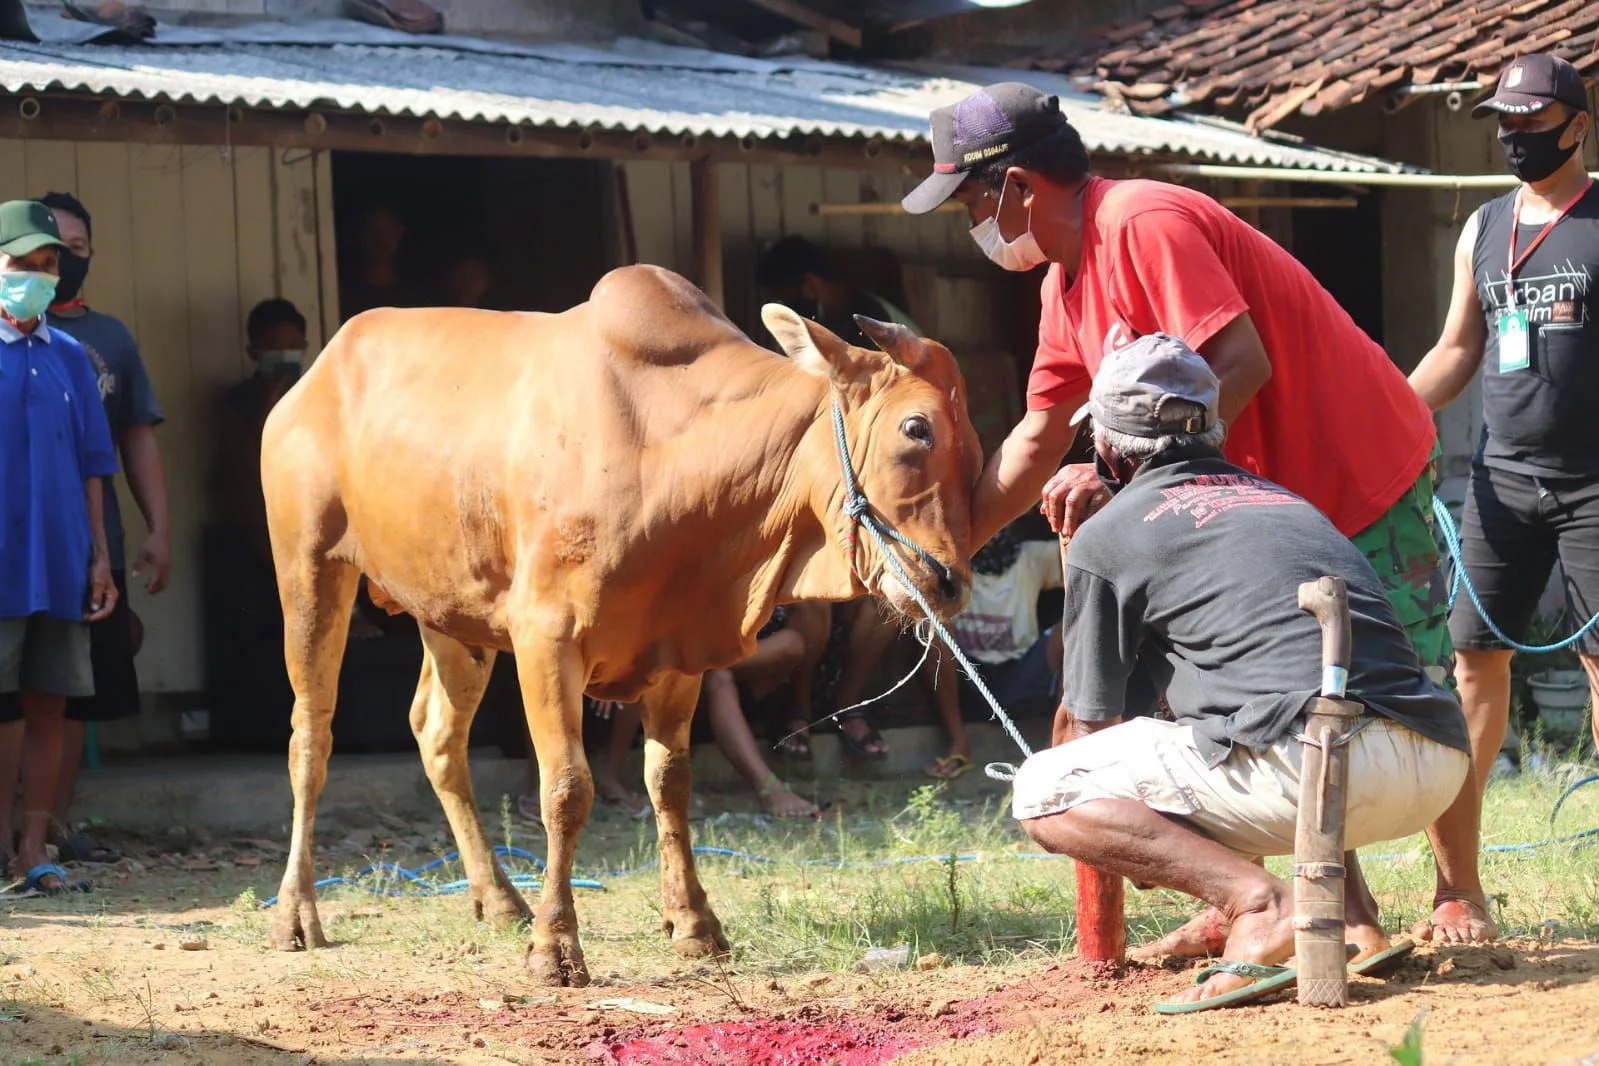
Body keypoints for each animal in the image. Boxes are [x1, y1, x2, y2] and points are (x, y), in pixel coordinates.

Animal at [260, 265, 978, 984]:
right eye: (916, 429)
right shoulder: (544, 636)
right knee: (309, 738)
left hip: (451, 615)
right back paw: (296, 912)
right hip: (309, 568)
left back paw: (498, 897)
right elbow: (566, 788)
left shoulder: (680, 653)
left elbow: (670, 782)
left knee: (437, 736)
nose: (949, 582)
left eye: (971, 445)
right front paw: (556, 947)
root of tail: (313, 376)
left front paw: (693, 922)